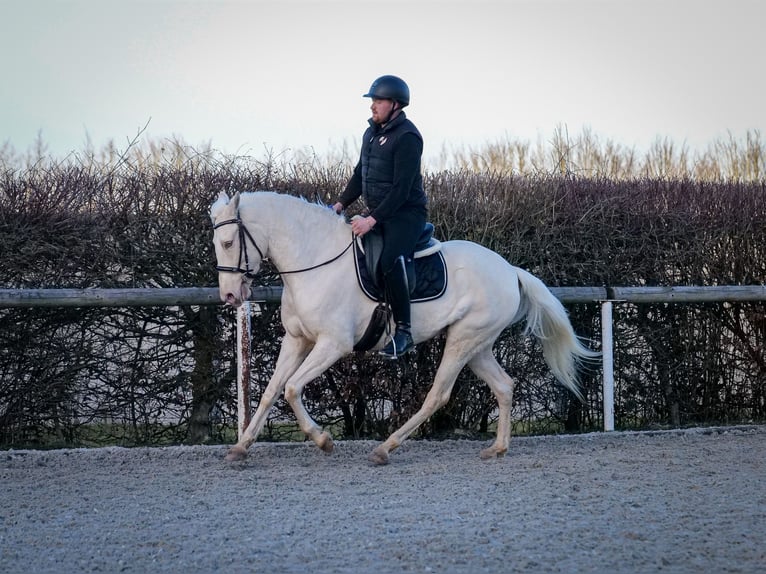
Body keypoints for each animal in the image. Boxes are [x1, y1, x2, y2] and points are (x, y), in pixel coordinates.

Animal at [210, 191, 600, 466]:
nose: (229, 295)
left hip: (463, 340)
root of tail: (509, 269)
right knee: (503, 386)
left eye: (228, 243)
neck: (315, 262)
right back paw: (498, 448)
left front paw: (323, 439)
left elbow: (291, 388)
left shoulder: (332, 344)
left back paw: (386, 448)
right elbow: (271, 391)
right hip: (477, 345)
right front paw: (241, 447)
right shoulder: (297, 340)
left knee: (438, 395)